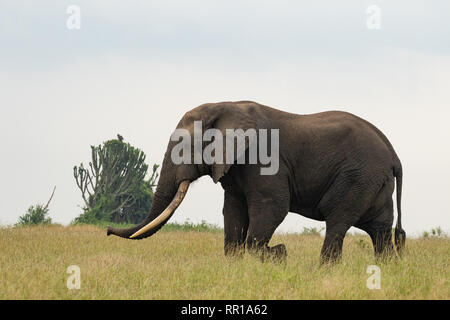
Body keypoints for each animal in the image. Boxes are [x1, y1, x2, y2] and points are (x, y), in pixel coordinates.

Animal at [107, 101, 406, 264]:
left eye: (183, 147)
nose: (108, 229)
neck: (224, 105)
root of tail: (393, 154)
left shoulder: (265, 159)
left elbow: (272, 206)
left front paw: (279, 255)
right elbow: (233, 210)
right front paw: (234, 266)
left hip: (357, 177)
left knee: (337, 221)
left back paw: (322, 271)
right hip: (374, 182)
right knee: (379, 229)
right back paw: (387, 270)